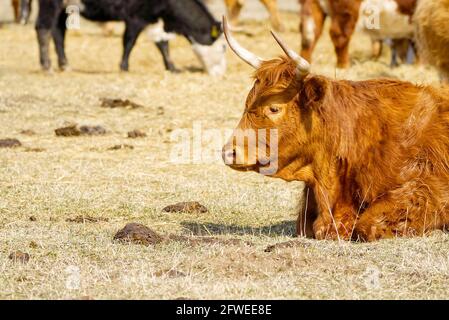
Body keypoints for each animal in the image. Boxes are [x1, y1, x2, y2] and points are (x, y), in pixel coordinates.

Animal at [35, 0, 226, 74]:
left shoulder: (153, 19)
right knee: (43, 28)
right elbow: (129, 42)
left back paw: (64, 64)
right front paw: (124, 66)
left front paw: (172, 67)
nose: (220, 74)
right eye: (224, 48)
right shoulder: (135, 18)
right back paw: (47, 66)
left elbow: (162, 44)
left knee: (58, 32)